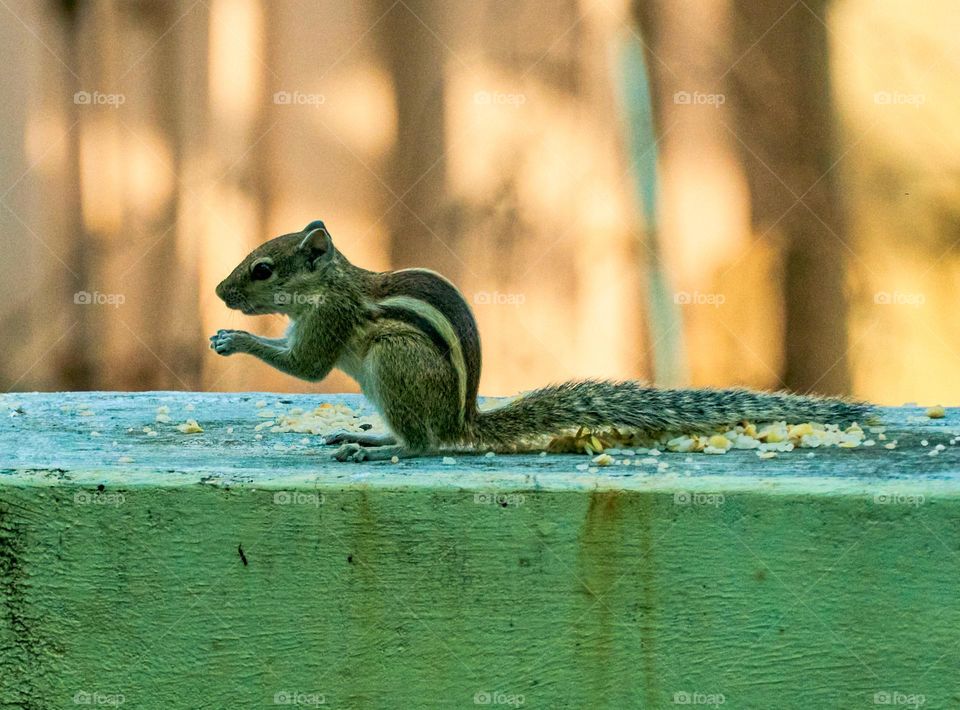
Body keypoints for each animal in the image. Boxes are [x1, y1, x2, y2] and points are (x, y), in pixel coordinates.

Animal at [212, 224, 872, 468]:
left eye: (263, 269)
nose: (220, 292)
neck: (330, 285)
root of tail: (463, 420)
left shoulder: (329, 324)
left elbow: (306, 368)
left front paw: (233, 337)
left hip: (393, 361)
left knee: (424, 445)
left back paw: (376, 450)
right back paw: (368, 437)